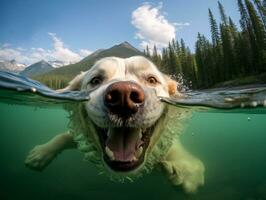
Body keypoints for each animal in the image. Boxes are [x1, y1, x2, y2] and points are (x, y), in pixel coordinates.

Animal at [24, 55, 204, 193]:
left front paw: (187, 170)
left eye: (152, 80)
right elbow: (66, 136)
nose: (124, 96)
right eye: (96, 80)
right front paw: (42, 153)